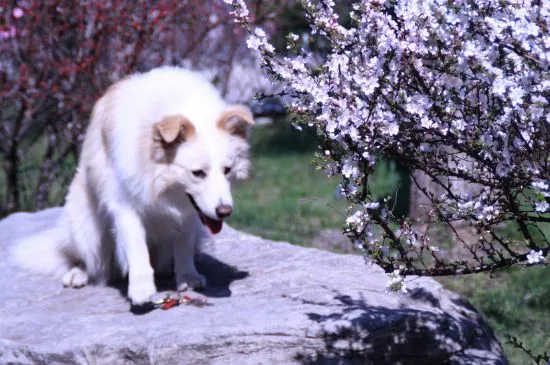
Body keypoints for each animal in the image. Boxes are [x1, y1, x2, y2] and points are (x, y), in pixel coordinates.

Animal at [9, 66, 254, 304]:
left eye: (227, 170)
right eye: (198, 173)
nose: (224, 212)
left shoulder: (187, 212)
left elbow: (183, 245)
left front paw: (187, 276)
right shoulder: (125, 206)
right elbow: (137, 248)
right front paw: (141, 289)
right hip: (86, 230)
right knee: (90, 262)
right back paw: (78, 273)